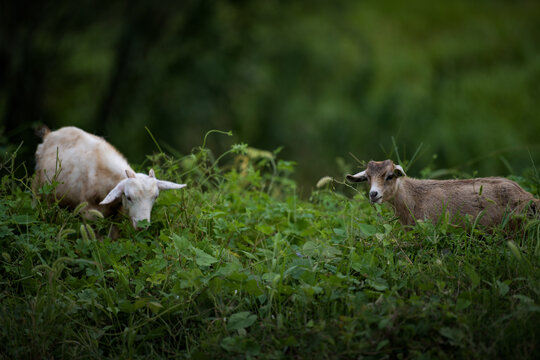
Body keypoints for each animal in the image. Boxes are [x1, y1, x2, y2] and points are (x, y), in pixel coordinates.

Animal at [34, 126, 186, 228]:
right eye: (129, 197)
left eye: (155, 197)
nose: (142, 226)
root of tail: (49, 134)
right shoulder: (89, 213)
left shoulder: (117, 215)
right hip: (38, 189)